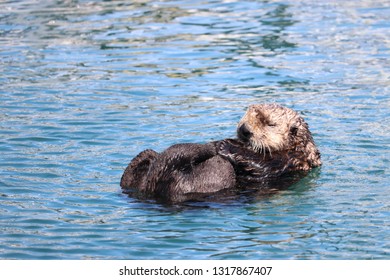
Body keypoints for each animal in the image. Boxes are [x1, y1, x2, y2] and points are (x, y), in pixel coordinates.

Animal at [120, 103, 322, 203]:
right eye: (247, 114)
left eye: (269, 123)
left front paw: (224, 145)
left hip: (213, 174)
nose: (244, 130)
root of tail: (149, 187)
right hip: (141, 165)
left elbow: (259, 165)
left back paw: (207, 149)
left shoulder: (286, 162)